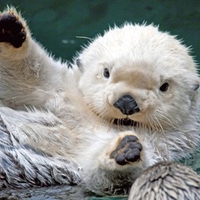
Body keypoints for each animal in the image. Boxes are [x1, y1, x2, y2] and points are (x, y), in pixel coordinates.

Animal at [0, 7, 198, 195]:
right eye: (106, 72)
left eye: (164, 86)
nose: (126, 103)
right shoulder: (61, 93)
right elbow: (26, 77)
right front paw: (11, 30)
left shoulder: (161, 148)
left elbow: (102, 176)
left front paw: (123, 150)